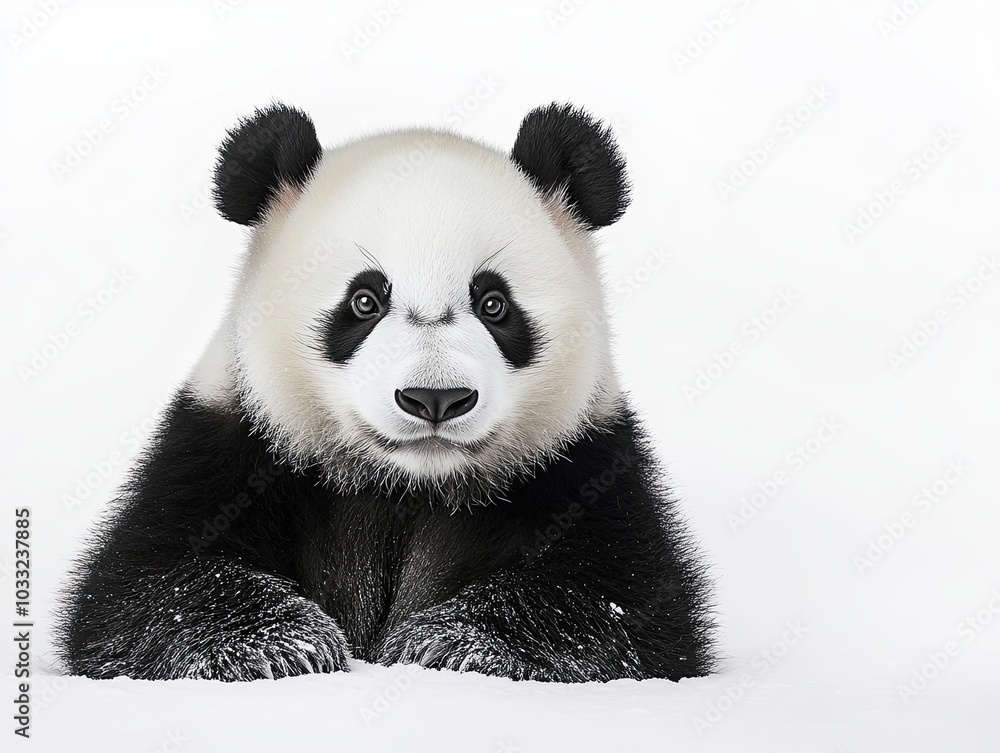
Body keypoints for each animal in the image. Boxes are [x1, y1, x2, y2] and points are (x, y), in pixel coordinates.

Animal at [56, 102, 715, 683]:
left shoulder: (582, 462)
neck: (407, 485)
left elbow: (621, 604)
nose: (435, 399)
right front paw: (277, 646)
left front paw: (453, 646)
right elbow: (145, 587)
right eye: (365, 300)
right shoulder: (229, 444)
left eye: (494, 303)